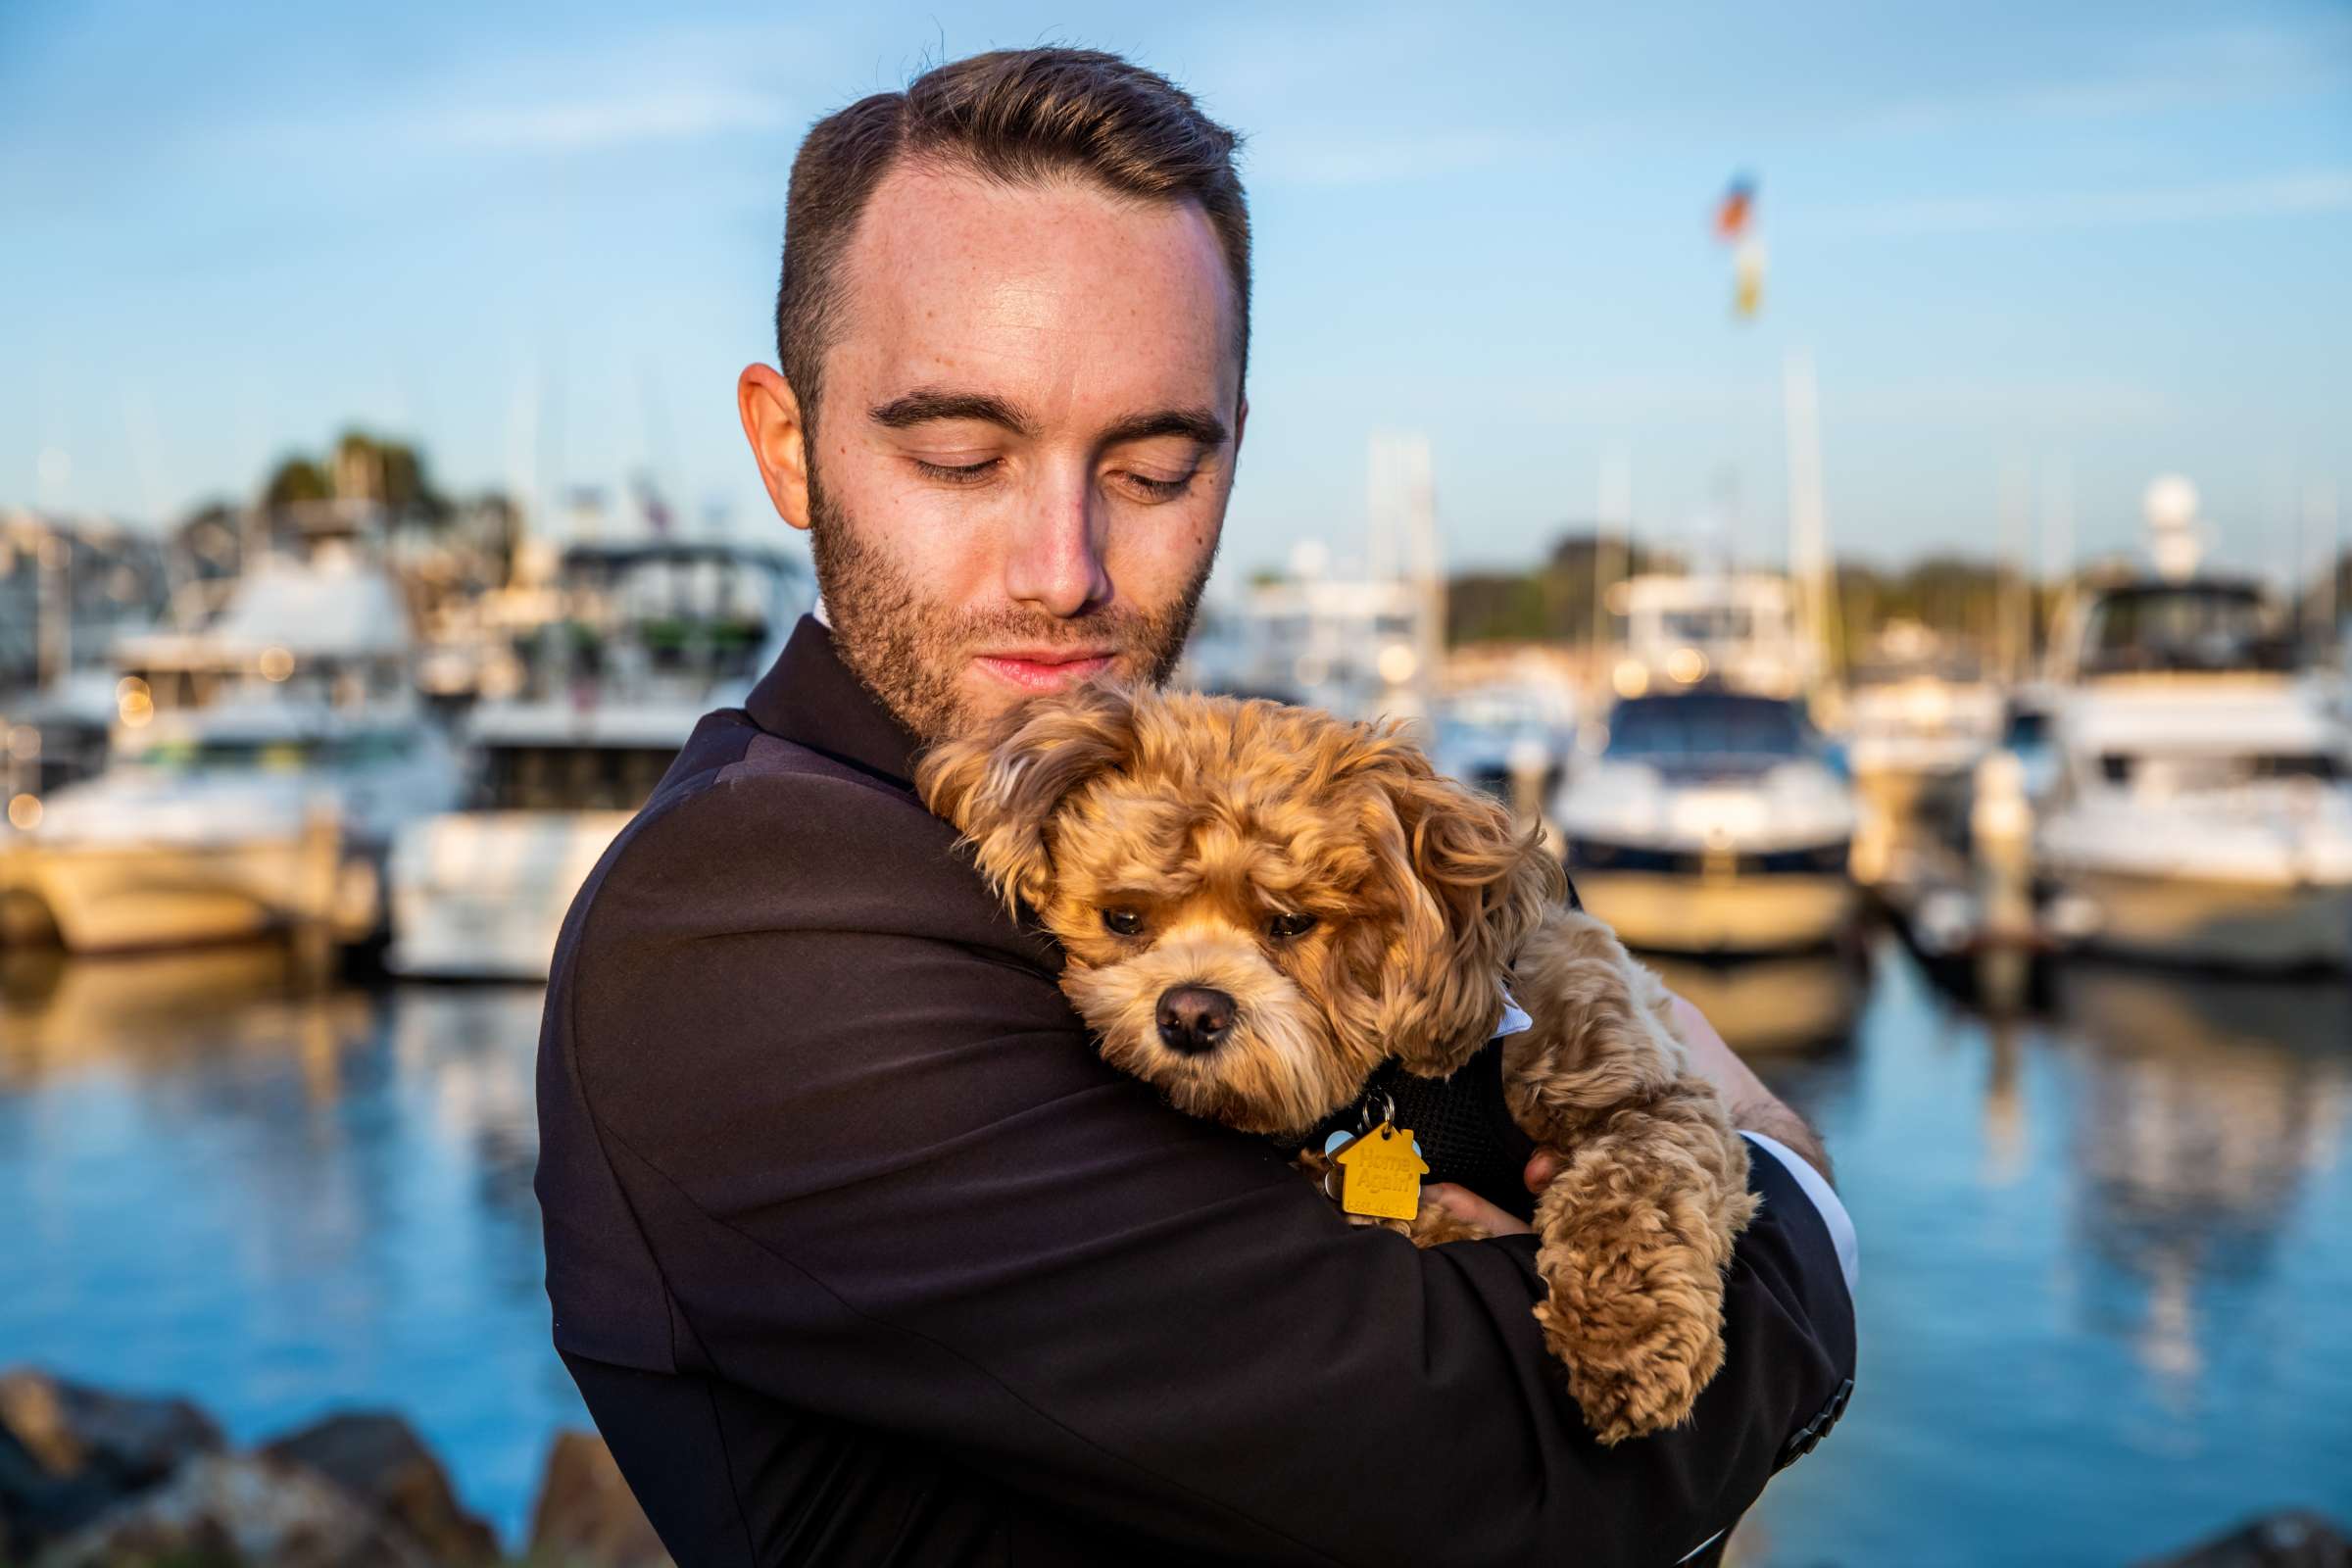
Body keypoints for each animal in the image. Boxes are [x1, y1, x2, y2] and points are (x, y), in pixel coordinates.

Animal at [917, 681, 1768, 1439]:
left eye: (1293, 923)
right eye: (1122, 919)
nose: (1190, 1013)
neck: (1393, 1085)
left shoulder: (1642, 1080)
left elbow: (1641, 1184)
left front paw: (1627, 1344)